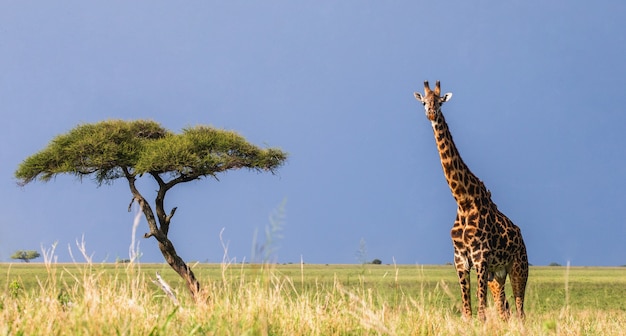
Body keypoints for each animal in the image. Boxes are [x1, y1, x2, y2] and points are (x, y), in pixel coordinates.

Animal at [414, 80, 528, 318]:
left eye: (440, 102)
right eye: (423, 102)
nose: (431, 113)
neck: (463, 200)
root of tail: (521, 237)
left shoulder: (480, 257)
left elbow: (481, 313)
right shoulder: (460, 260)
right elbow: (468, 312)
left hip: (518, 268)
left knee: (520, 311)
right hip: (498, 274)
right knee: (504, 310)